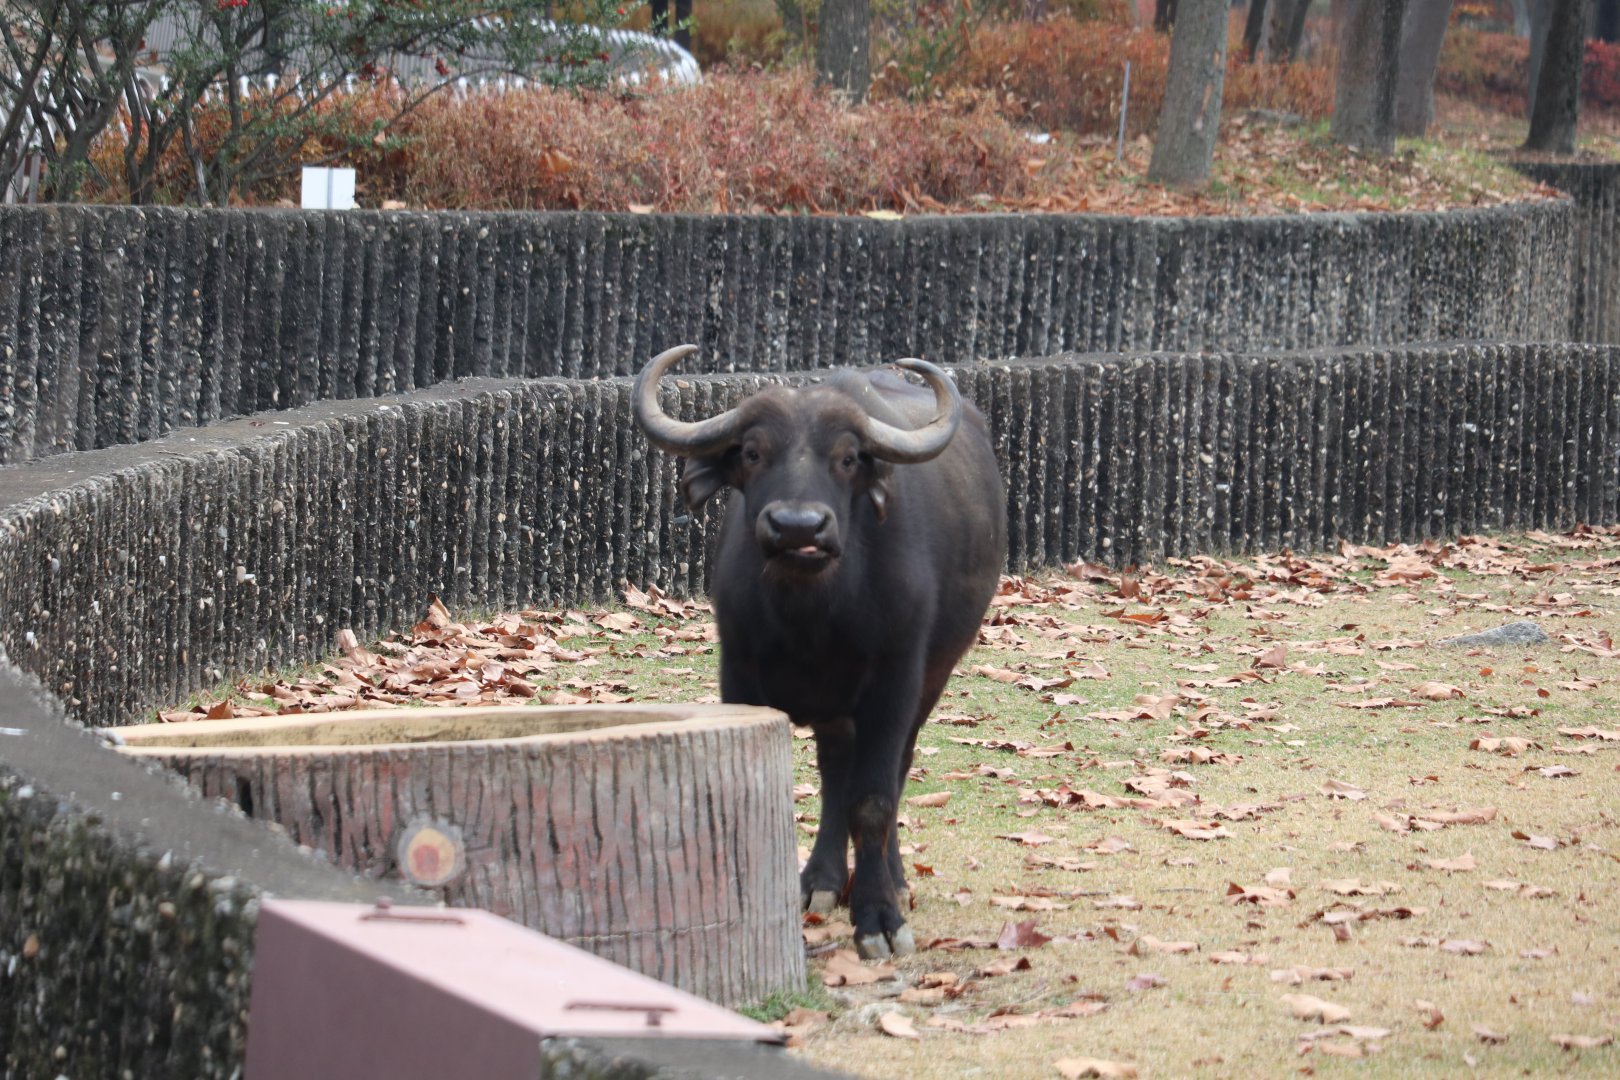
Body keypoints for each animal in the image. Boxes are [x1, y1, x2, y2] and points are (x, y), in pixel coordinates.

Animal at [633, 345, 1007, 958]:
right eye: (754, 452)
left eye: (849, 458)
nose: (797, 528)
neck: (813, 619)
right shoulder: (739, 676)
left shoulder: (894, 683)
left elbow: (873, 801)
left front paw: (879, 918)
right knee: (835, 775)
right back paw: (823, 882)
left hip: (932, 677)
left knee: (891, 773)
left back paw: (894, 881)